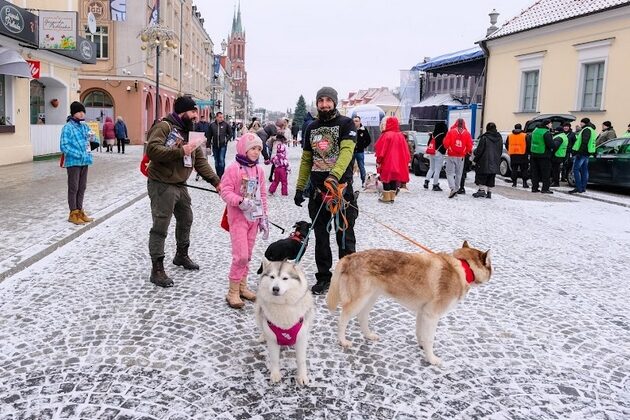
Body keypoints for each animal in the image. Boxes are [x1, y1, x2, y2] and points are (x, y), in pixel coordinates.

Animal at [326, 241, 494, 366]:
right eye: (491, 266)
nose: (493, 274)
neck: (463, 267)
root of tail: (349, 256)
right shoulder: (432, 315)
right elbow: (429, 338)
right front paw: (431, 359)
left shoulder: (423, 313)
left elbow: (420, 333)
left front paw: (422, 346)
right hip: (358, 301)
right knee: (342, 319)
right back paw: (342, 341)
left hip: (370, 298)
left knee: (362, 317)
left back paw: (369, 335)